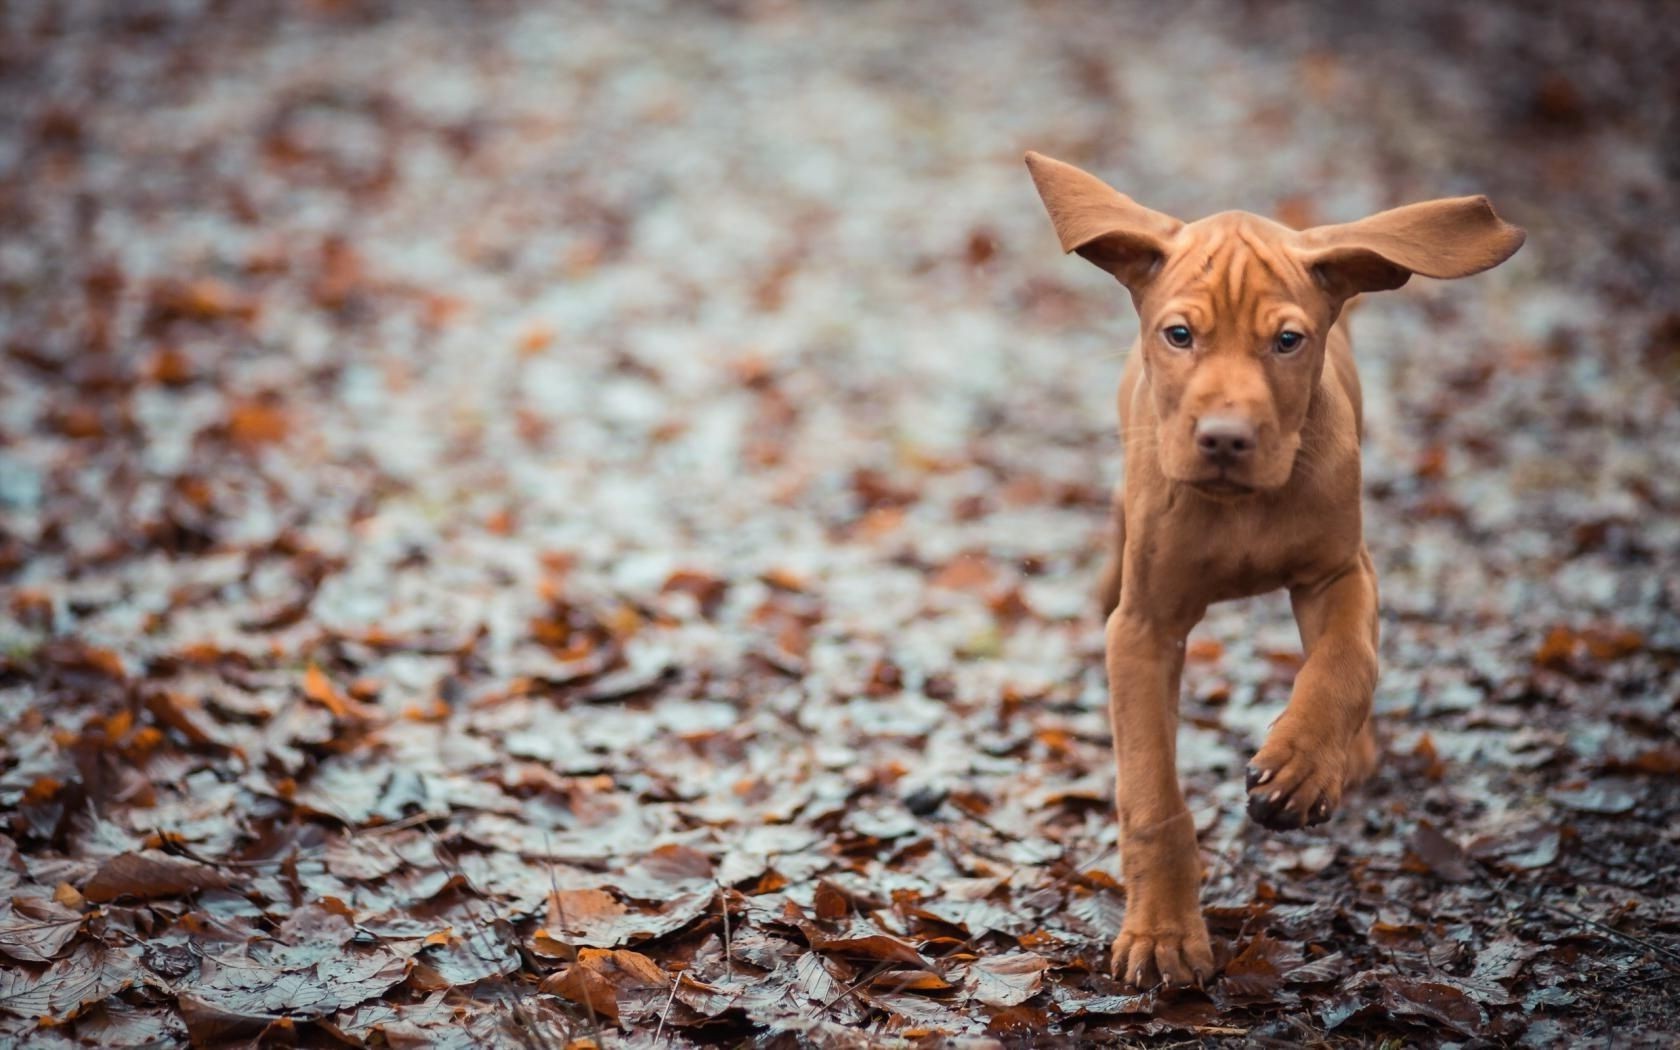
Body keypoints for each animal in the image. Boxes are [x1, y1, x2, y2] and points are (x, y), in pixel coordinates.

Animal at [1021, 151, 1525, 987]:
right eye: (1180, 335)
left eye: (1288, 341)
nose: (1225, 439)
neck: (1242, 508)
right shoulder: (1146, 628)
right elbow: (1152, 794)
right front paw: (1163, 935)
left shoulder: (1339, 574)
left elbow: (1346, 663)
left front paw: (1302, 765)